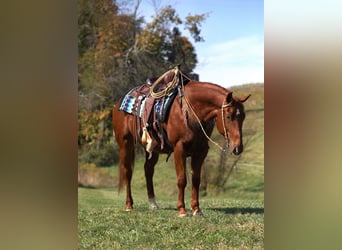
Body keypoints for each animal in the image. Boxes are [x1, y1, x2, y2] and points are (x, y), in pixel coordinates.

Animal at [112, 71, 248, 217]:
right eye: (228, 116)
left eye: (243, 116)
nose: (238, 148)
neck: (190, 110)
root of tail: (119, 103)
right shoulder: (179, 148)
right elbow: (182, 179)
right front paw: (182, 210)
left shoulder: (201, 151)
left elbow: (196, 180)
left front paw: (196, 209)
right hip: (125, 143)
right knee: (127, 172)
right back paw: (129, 205)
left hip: (152, 148)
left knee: (148, 170)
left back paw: (153, 203)